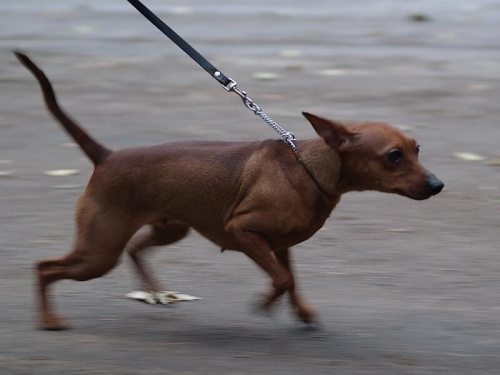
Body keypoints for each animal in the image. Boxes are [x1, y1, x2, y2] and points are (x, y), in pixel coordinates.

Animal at [14, 51, 442, 330]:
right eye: (393, 156)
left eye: (417, 149)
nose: (438, 184)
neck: (309, 168)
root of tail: (106, 155)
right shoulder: (243, 231)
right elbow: (282, 281)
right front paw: (265, 303)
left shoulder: (279, 246)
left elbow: (290, 279)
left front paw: (300, 311)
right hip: (100, 251)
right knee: (45, 266)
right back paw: (49, 320)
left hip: (170, 229)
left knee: (135, 250)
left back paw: (154, 292)